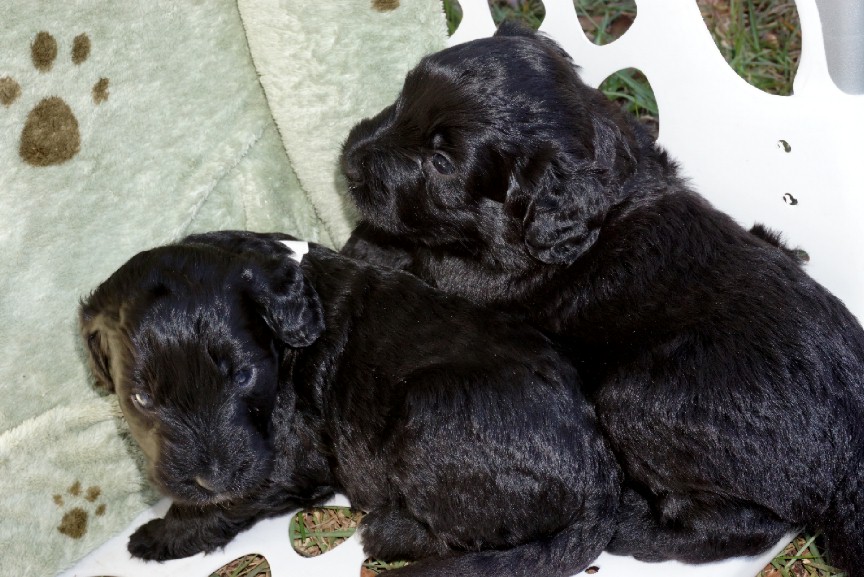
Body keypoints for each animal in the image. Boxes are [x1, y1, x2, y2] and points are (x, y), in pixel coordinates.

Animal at [79, 230, 620, 576]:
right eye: (142, 397)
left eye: (243, 375)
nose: (211, 478)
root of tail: (599, 479)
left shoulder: (283, 463)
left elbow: (223, 507)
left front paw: (157, 536)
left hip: (428, 412)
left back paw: (385, 531)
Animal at [339, 23, 864, 573]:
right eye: (404, 94)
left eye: (440, 163)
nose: (348, 162)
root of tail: (849, 453)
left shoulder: (474, 278)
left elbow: (414, 250)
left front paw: (366, 246)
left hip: (633, 400)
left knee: (741, 527)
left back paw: (634, 527)